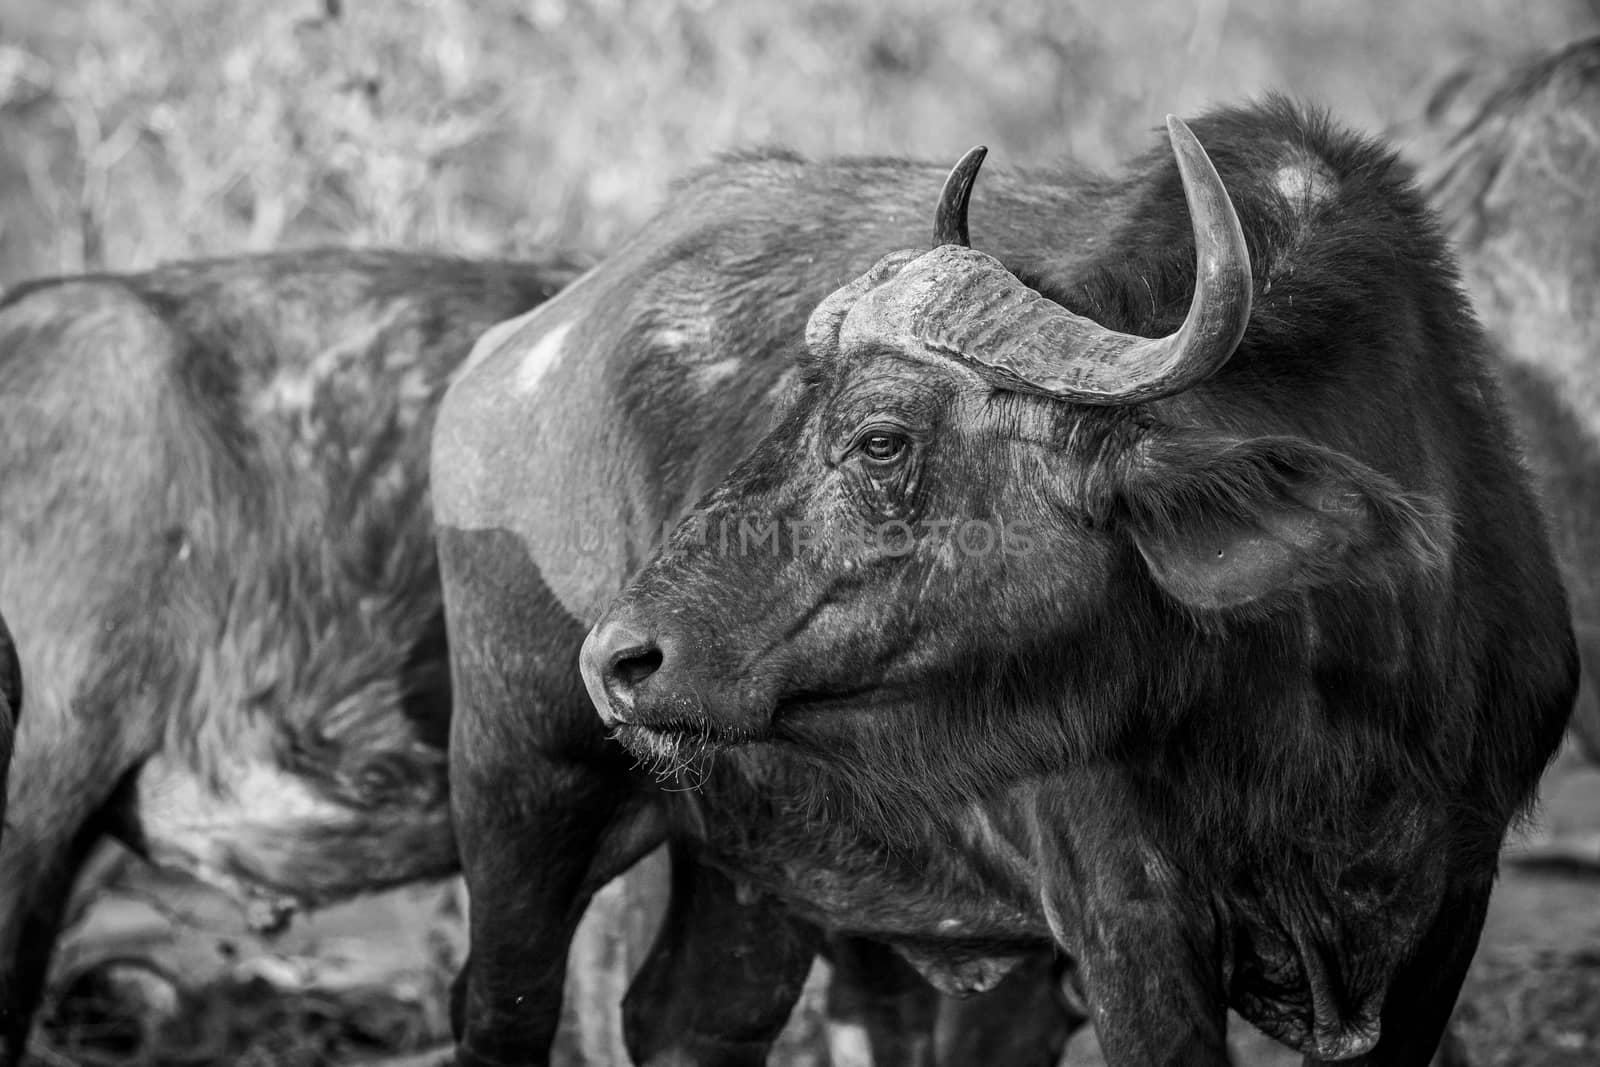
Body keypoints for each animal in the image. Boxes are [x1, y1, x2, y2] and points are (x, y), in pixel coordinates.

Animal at [435, 102, 1574, 1067]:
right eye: (786, 409)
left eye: (880, 437)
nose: (622, 658)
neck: (1311, 699)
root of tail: (512, 355)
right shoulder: (1127, 925)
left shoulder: (1451, 909)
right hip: (520, 797)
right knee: (501, 1010)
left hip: (752, 868)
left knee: (689, 1021)